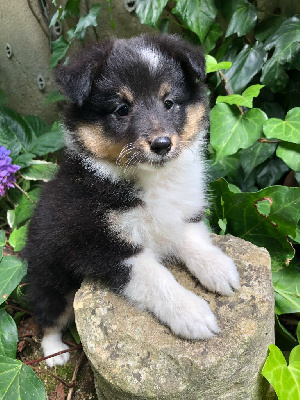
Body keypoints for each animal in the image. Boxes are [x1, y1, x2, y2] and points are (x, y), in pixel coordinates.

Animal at [22, 34, 239, 366]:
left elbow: (192, 239)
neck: (151, 180)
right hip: (52, 276)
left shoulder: (181, 212)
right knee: (48, 317)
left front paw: (218, 269)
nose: (162, 144)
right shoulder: (106, 246)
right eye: (122, 109)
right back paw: (55, 353)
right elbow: (158, 278)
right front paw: (192, 314)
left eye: (168, 102)